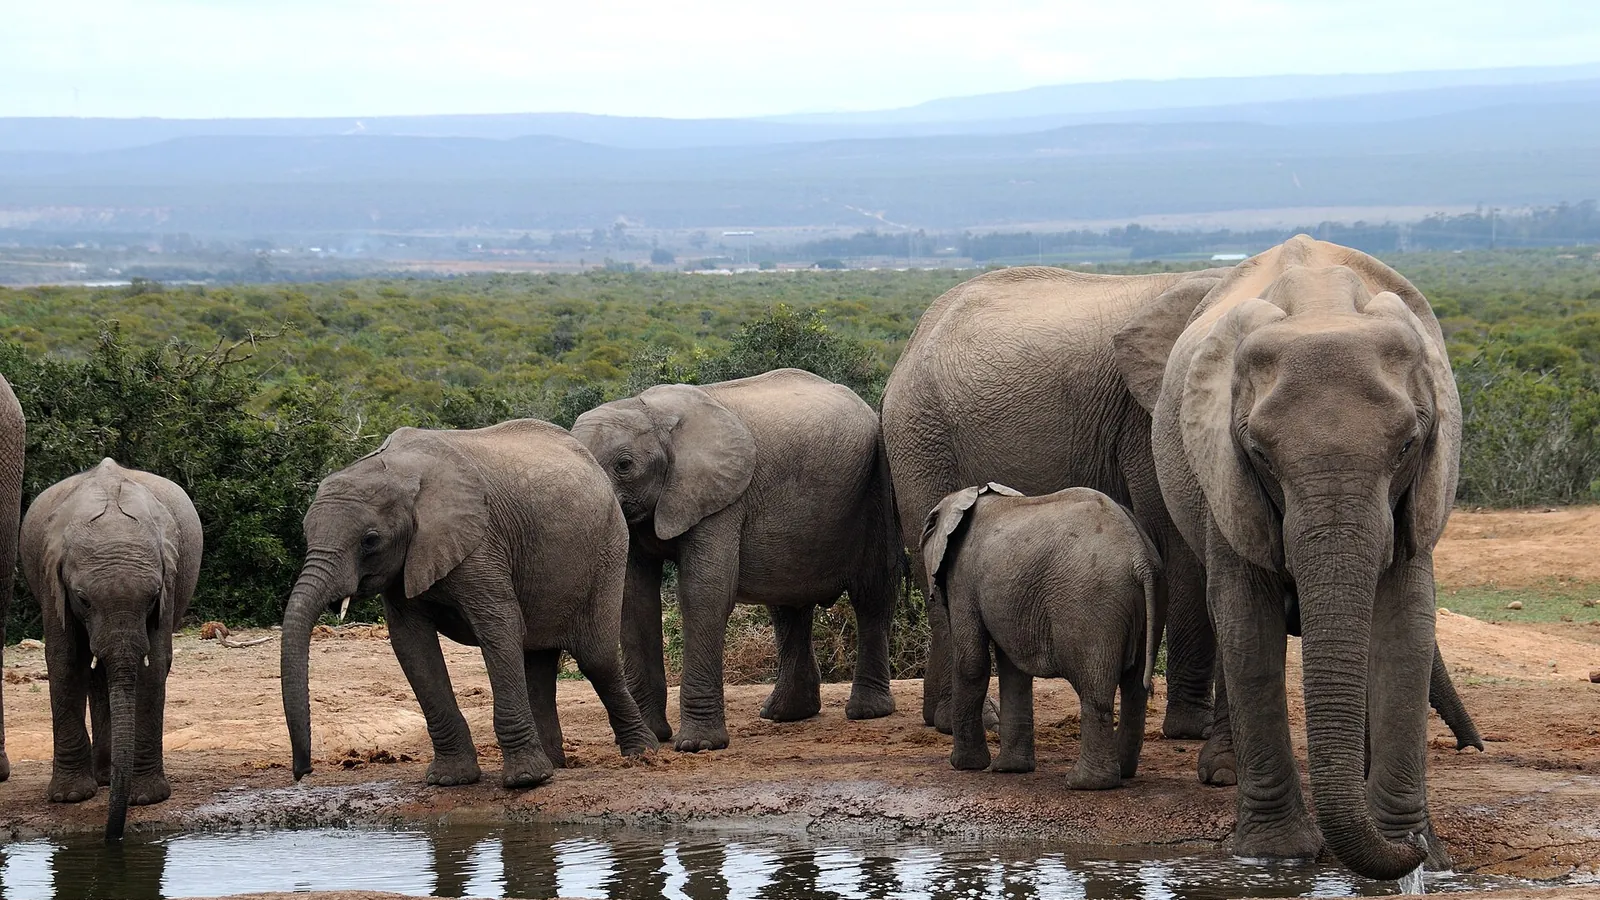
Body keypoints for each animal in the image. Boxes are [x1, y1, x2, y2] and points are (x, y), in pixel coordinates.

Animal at [20, 458, 202, 841]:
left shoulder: (170, 580)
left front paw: (145, 798)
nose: (112, 838)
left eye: (152, 597)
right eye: (83, 599)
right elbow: (66, 661)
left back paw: (109, 776)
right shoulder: (51, 579)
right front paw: (71, 797)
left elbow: (153, 665)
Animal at [280, 419, 657, 790]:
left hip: (609, 547)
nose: (303, 771)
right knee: (537, 659)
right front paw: (451, 780)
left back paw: (642, 753)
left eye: (370, 540)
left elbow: (499, 626)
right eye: (306, 533)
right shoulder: (407, 565)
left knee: (597, 659)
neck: (398, 472)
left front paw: (525, 781)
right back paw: (555, 765)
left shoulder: (481, 543)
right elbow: (411, 644)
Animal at [571, 368, 900, 752]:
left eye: (624, 465)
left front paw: (698, 746)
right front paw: (654, 738)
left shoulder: (721, 497)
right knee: (787, 605)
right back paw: (785, 714)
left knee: (871, 595)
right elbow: (635, 601)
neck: (651, 413)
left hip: (875, 487)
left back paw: (867, 712)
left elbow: (704, 594)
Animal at [924, 483, 1159, 789]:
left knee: (1094, 685)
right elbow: (1013, 670)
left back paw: (1082, 783)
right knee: (1135, 687)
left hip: (1090, 603)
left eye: (928, 528)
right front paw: (1009, 769)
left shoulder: (962, 578)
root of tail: (1139, 557)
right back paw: (1123, 771)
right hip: (1149, 596)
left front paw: (964, 766)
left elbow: (971, 664)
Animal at [1109, 235, 1458, 879]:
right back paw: (1225, 770)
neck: (1323, 306)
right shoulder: (1224, 471)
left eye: (1407, 446)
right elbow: (1249, 626)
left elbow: (1406, 628)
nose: (1409, 853)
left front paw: (1420, 852)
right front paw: (1277, 854)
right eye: (1259, 453)